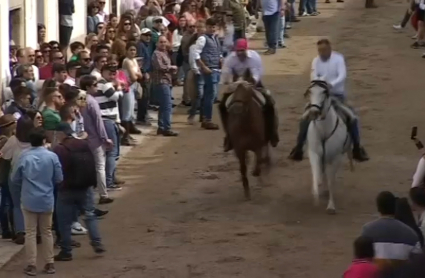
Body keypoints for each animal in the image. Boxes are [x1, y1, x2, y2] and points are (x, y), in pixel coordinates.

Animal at [224, 69, 270, 200]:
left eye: (248, 89)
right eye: (234, 90)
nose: (236, 108)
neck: (245, 126)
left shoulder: (257, 145)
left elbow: (258, 161)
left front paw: (256, 173)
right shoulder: (239, 149)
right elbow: (243, 168)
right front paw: (247, 192)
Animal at [304, 79, 352, 214]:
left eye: (324, 92)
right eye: (310, 91)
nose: (313, 112)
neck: (324, 130)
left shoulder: (336, 158)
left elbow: (331, 182)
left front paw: (331, 206)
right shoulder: (314, 153)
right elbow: (316, 175)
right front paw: (315, 195)